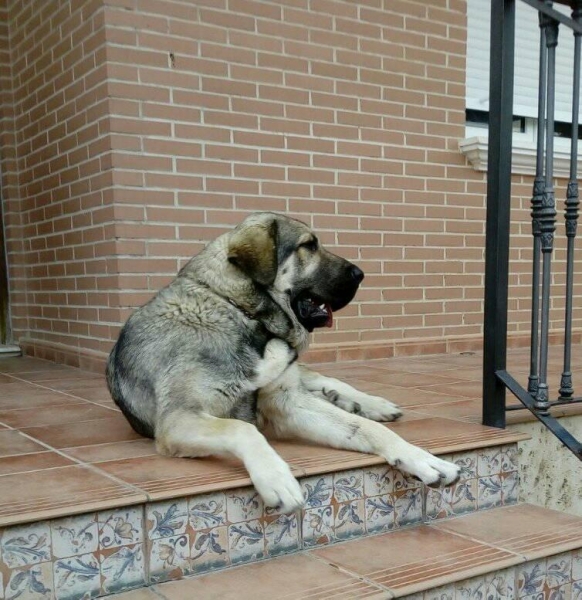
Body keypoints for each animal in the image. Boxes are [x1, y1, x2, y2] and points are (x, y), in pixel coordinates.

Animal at [106, 212, 460, 510]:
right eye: (308, 246)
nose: (361, 274)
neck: (245, 315)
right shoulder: (179, 419)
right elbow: (243, 429)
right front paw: (276, 477)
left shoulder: (288, 402)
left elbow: (366, 428)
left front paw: (419, 457)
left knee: (325, 380)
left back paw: (368, 402)